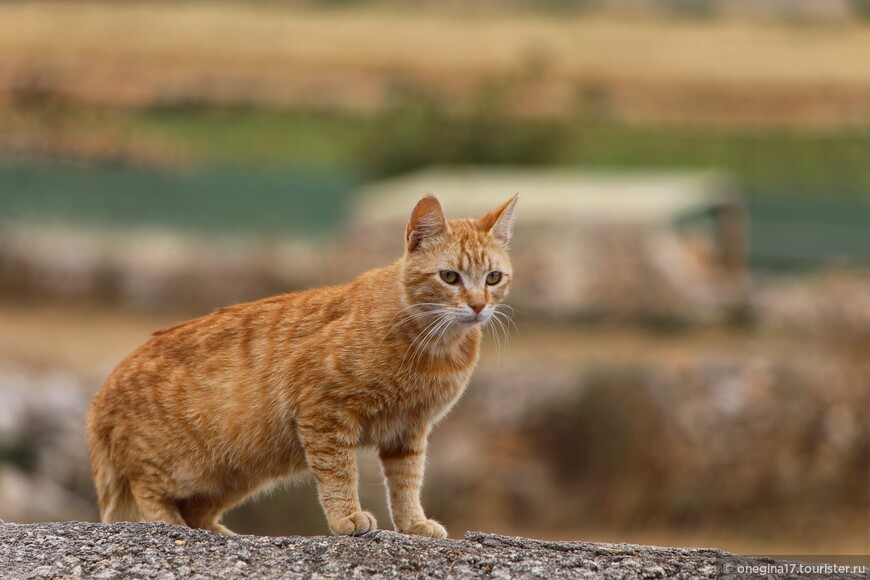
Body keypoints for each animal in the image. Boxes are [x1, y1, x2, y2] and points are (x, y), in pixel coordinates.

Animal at [87, 195, 516, 540]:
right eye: (450, 276)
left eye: (493, 277)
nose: (478, 305)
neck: (435, 347)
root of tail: (101, 393)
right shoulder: (323, 413)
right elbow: (338, 474)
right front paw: (346, 517)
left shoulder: (409, 433)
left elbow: (407, 484)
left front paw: (413, 524)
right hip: (180, 466)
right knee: (148, 491)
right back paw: (170, 525)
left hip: (235, 473)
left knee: (196, 509)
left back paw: (223, 533)